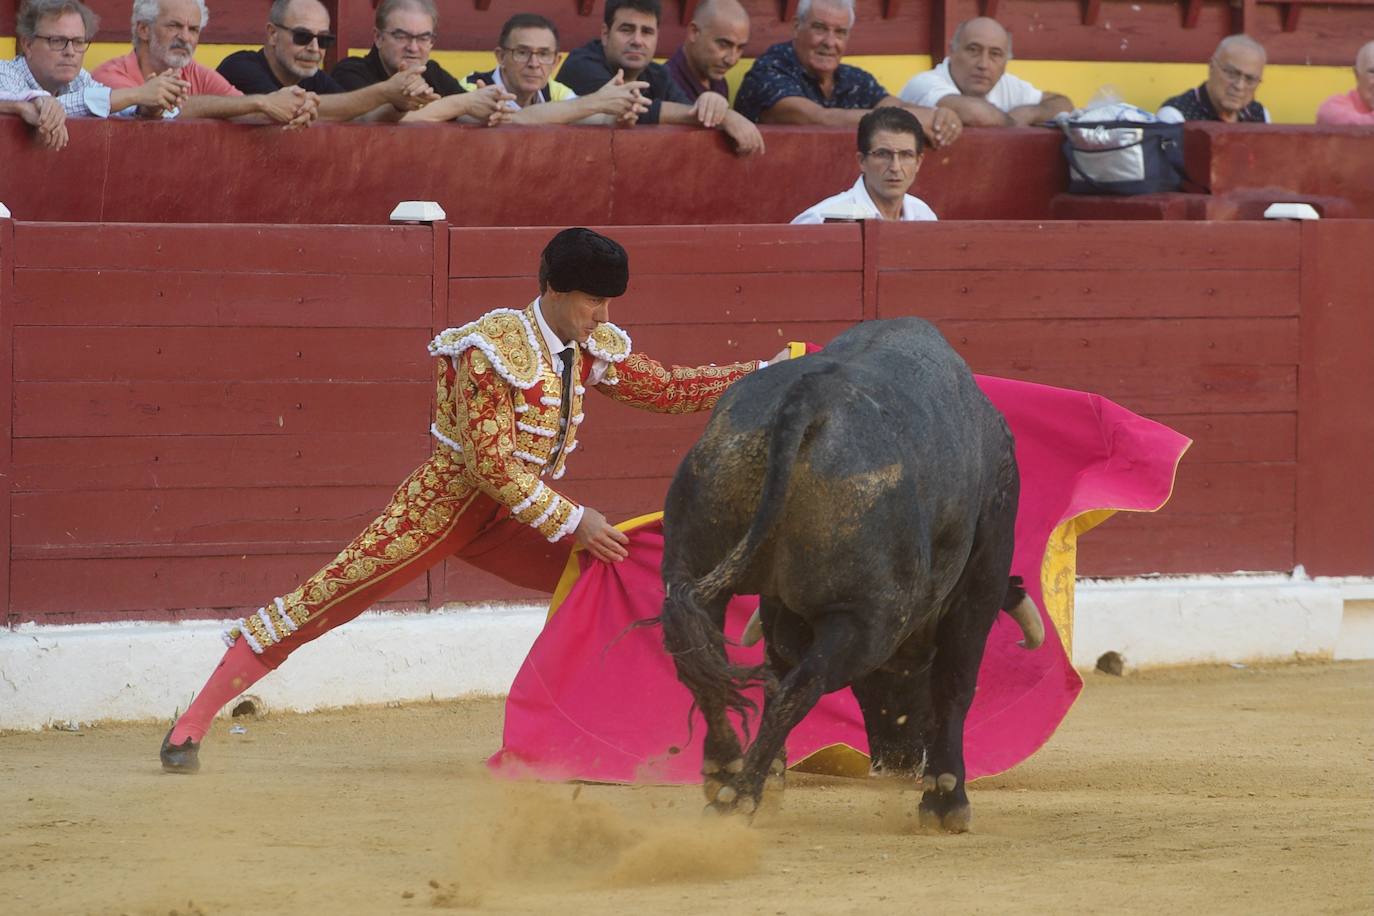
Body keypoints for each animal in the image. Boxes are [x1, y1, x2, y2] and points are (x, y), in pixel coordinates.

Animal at [656, 318, 1038, 834]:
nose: (898, 761)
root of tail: (810, 398)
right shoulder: (981, 579)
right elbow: (955, 684)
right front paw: (946, 801)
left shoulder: (778, 607)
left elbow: (774, 665)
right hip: (866, 619)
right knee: (800, 688)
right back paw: (740, 797)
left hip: (692, 569)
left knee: (704, 660)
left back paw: (725, 774)